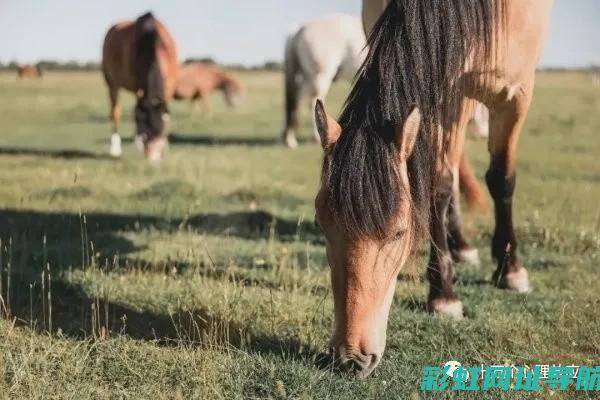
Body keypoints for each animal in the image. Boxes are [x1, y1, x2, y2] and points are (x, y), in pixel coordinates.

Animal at [102, 11, 178, 161]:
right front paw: (138, 144)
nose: (152, 159)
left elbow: (165, 113)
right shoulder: (137, 85)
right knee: (115, 112)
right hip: (112, 83)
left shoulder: (169, 84)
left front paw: (165, 146)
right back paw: (115, 149)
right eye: (145, 134)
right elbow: (137, 111)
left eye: (159, 132)